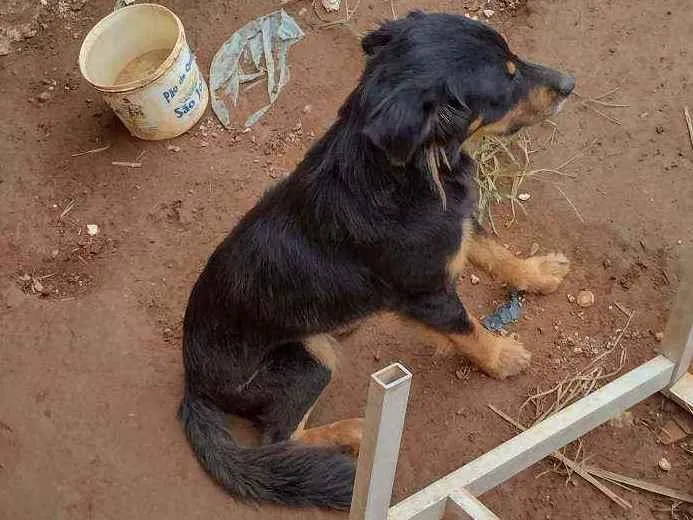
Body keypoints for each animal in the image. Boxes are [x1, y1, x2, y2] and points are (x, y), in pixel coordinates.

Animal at [178, 11, 574, 510]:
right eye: (507, 80)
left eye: (515, 58)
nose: (570, 84)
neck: (404, 173)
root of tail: (192, 384)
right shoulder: (425, 292)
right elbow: (467, 328)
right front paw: (502, 356)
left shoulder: (458, 225)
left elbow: (493, 250)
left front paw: (535, 272)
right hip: (311, 357)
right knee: (280, 437)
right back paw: (354, 432)